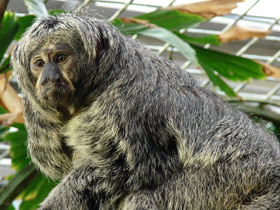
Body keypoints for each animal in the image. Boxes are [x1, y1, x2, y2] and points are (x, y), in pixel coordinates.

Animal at [12, 10, 280, 209]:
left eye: (60, 58)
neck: (100, 83)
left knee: (148, 195)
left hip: (233, 178)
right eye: (39, 63)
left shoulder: (124, 106)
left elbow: (118, 169)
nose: (49, 78)